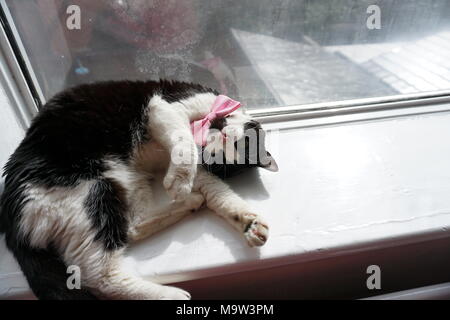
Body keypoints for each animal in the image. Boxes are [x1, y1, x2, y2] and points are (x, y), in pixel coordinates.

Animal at [0, 80, 278, 300]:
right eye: (240, 142)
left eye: (222, 155)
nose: (220, 134)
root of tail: (12, 220)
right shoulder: (165, 106)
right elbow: (183, 141)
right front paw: (180, 182)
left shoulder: (190, 167)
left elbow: (218, 192)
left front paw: (249, 222)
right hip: (92, 191)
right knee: (98, 275)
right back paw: (171, 295)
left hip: (128, 181)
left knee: (131, 227)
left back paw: (191, 203)